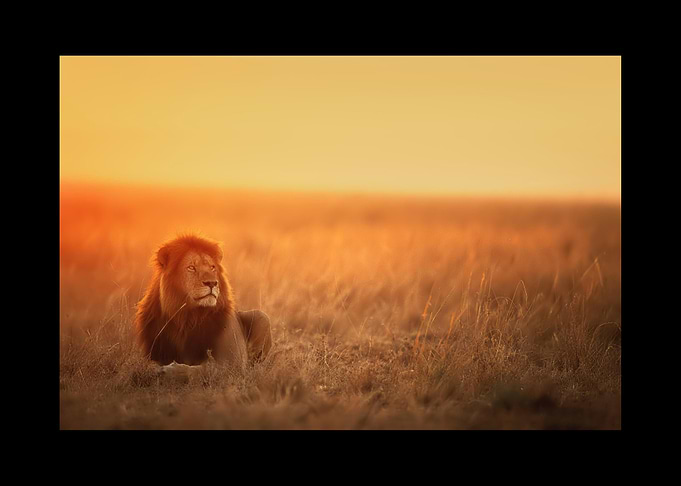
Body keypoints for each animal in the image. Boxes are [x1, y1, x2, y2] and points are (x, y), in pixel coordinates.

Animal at [134, 233, 272, 379]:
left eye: (212, 267)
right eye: (191, 267)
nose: (212, 283)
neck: (187, 317)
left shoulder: (232, 363)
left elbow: (204, 369)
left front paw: (171, 371)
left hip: (262, 317)